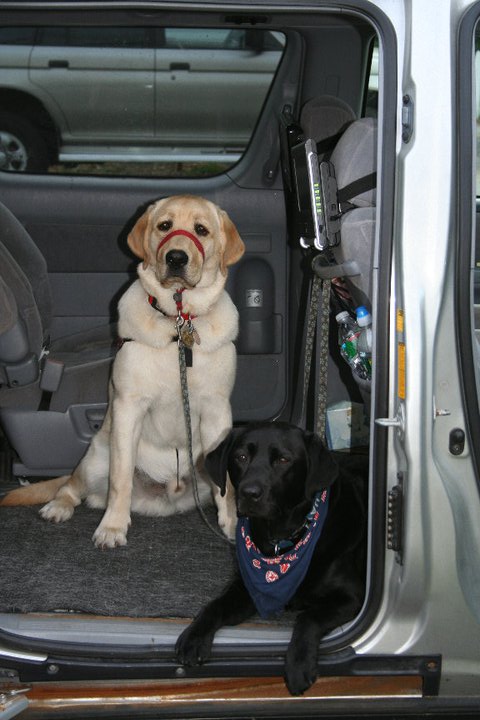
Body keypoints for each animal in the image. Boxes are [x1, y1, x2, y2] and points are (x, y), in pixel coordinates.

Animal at [0, 195, 245, 548]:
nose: (175, 257)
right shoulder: (128, 408)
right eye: (165, 225)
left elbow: (225, 484)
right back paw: (58, 507)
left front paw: (232, 523)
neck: (177, 321)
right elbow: (121, 479)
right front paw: (113, 526)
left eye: (202, 230)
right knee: (72, 487)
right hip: (96, 456)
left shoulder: (216, 411)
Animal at [175, 421, 367, 696]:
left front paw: (299, 664)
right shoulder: (247, 589)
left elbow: (309, 617)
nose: (249, 493)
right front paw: (194, 636)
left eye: (284, 460)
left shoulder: (352, 597)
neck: (281, 540)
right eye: (241, 457)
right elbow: (215, 605)